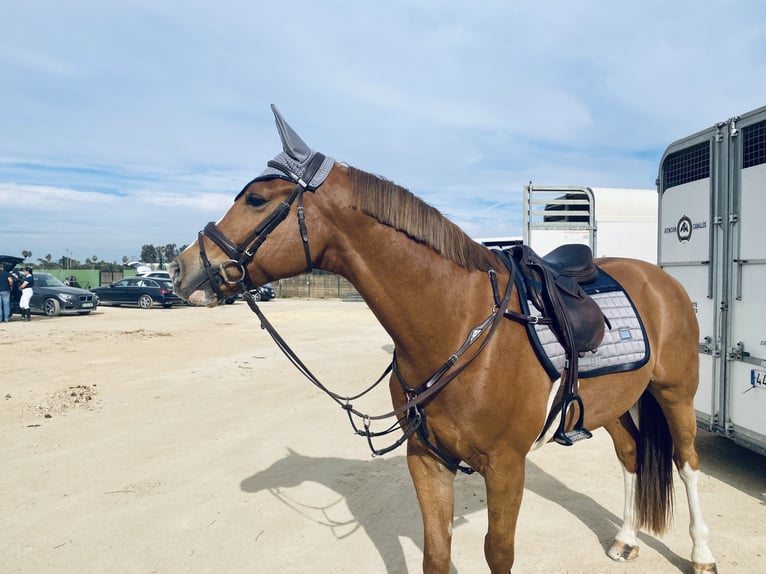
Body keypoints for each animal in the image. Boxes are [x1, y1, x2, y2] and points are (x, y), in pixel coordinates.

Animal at [170, 107, 720, 574]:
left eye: (256, 199)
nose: (181, 268)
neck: (458, 325)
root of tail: (661, 279)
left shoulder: (506, 468)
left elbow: (498, 554)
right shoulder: (427, 460)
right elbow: (436, 554)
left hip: (676, 393)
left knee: (688, 463)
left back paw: (702, 554)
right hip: (614, 402)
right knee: (630, 454)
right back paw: (626, 539)